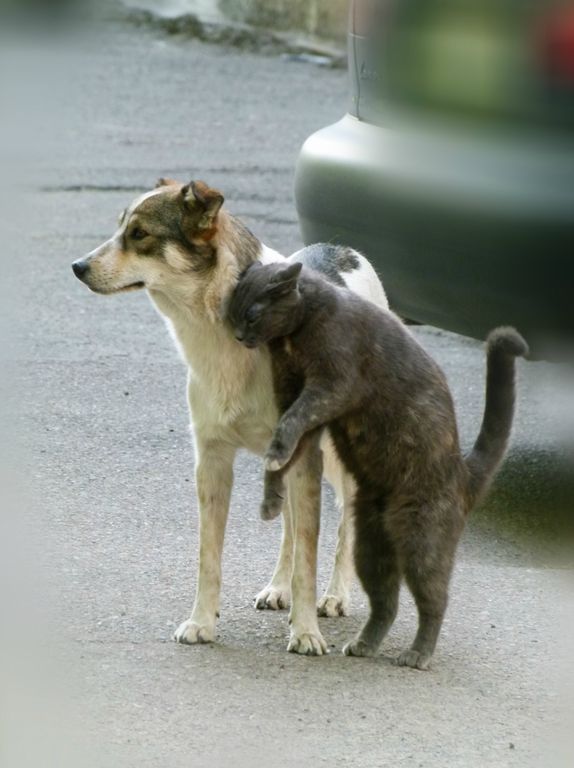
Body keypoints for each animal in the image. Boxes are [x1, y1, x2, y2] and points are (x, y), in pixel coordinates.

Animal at [71, 180, 388, 656]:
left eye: (140, 234)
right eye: (120, 228)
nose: (77, 267)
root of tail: (343, 250)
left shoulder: (306, 458)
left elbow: (310, 556)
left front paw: (306, 631)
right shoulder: (213, 461)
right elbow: (211, 557)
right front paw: (202, 622)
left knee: (341, 528)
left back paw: (335, 597)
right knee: (290, 528)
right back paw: (278, 589)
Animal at [228, 260, 532, 668]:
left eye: (252, 313)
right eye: (231, 312)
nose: (238, 335)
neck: (297, 333)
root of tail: (463, 473)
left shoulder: (329, 388)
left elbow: (290, 423)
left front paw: (274, 461)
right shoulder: (302, 405)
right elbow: (288, 441)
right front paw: (272, 495)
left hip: (423, 542)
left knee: (435, 601)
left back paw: (418, 653)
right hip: (371, 547)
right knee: (387, 602)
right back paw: (364, 643)